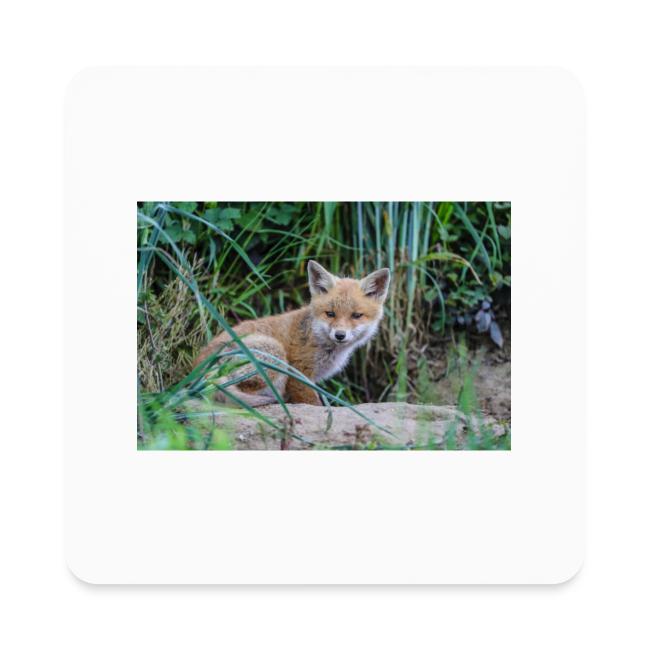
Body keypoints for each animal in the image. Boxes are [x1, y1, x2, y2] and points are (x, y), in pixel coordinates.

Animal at [194, 260, 391, 406]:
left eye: (356, 315)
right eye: (330, 314)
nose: (340, 335)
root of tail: (198, 368)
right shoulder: (299, 374)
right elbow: (312, 402)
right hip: (275, 353)